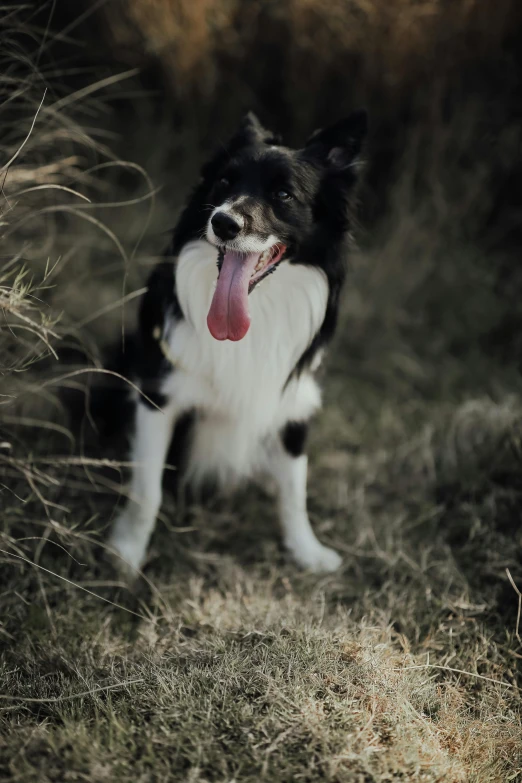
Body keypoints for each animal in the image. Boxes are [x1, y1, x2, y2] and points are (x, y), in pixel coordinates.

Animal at [107, 108, 364, 576]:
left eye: (283, 194)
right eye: (225, 182)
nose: (224, 222)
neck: (257, 312)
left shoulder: (294, 403)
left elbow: (295, 491)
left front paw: (307, 551)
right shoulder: (157, 395)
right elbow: (147, 489)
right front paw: (126, 553)